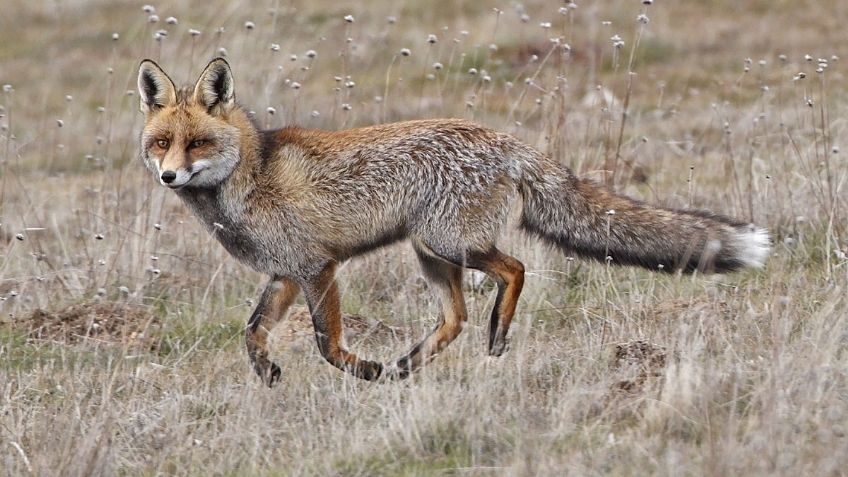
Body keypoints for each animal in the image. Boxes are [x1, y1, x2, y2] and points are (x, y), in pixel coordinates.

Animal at [136, 57, 772, 384]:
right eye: (162, 143)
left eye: (197, 144)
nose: (168, 177)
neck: (251, 173)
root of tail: (504, 140)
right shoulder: (286, 273)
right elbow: (251, 332)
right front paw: (269, 374)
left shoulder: (318, 267)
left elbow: (325, 342)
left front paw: (362, 370)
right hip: (432, 254)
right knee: (457, 317)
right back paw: (408, 365)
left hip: (447, 243)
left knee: (513, 271)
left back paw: (493, 336)